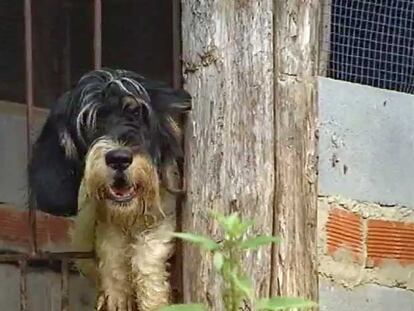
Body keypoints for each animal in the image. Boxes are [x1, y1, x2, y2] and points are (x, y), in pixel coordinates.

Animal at [28, 69, 192, 311]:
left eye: (138, 114)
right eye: (89, 122)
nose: (119, 158)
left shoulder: (166, 213)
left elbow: (149, 250)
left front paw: (154, 300)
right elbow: (110, 245)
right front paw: (116, 295)